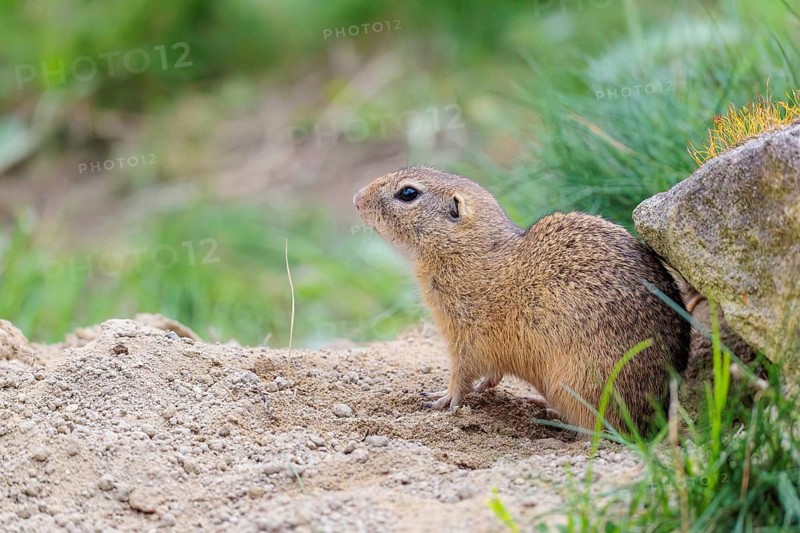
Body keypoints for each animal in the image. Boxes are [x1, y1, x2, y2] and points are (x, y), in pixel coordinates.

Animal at [353, 166, 690, 433]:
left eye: (408, 193)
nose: (357, 198)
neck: (468, 251)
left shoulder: (465, 336)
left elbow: (461, 375)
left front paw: (442, 398)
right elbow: (490, 373)